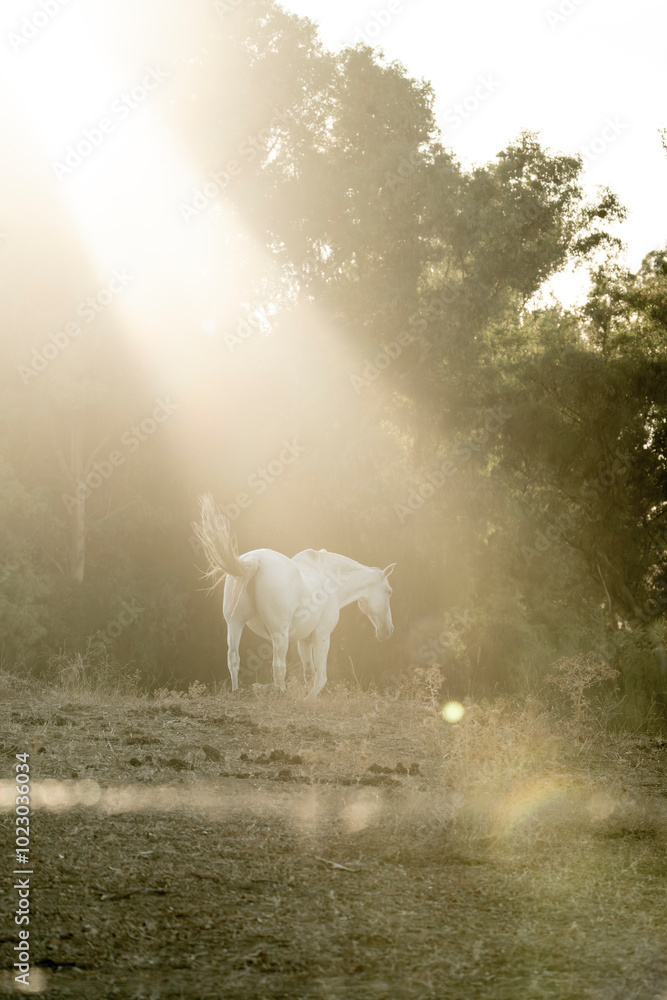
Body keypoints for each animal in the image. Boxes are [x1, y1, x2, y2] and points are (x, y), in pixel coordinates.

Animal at [194, 494, 395, 698]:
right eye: (389, 592)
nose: (387, 631)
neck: (329, 578)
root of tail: (255, 560)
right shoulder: (322, 636)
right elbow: (320, 677)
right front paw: (308, 700)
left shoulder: (303, 641)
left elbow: (309, 673)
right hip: (279, 634)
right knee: (278, 666)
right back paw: (281, 695)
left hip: (235, 623)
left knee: (233, 658)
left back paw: (237, 692)